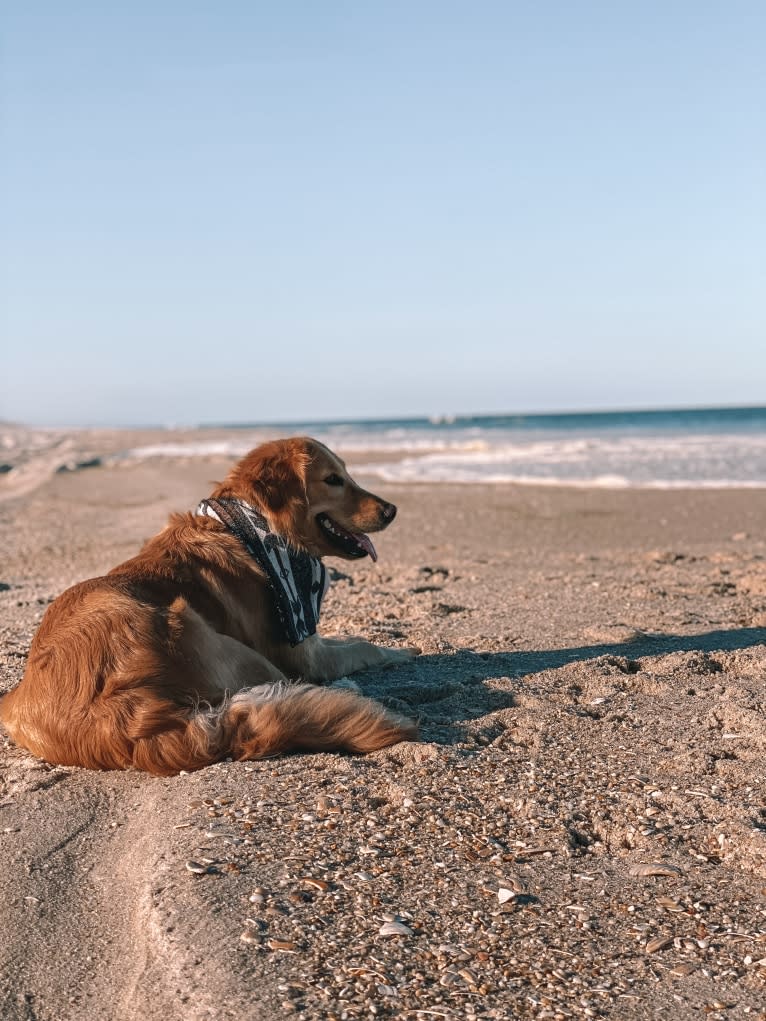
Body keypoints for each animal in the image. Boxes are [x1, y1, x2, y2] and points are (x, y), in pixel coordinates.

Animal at [0, 436, 420, 771]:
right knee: (283, 686)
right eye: (333, 480)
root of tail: (123, 724)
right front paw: (403, 651)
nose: (392, 510)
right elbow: (362, 646)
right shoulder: (303, 653)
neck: (253, 526)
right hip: (207, 633)